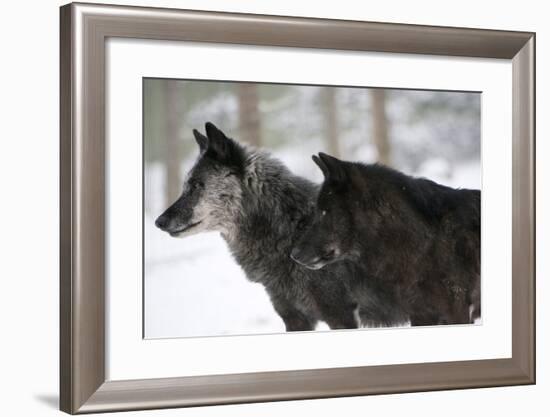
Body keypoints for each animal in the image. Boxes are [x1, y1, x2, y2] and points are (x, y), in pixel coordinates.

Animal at [154, 122, 366, 332]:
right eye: (186, 185)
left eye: (197, 185)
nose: (158, 222)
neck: (291, 229)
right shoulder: (293, 317)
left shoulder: (340, 316)